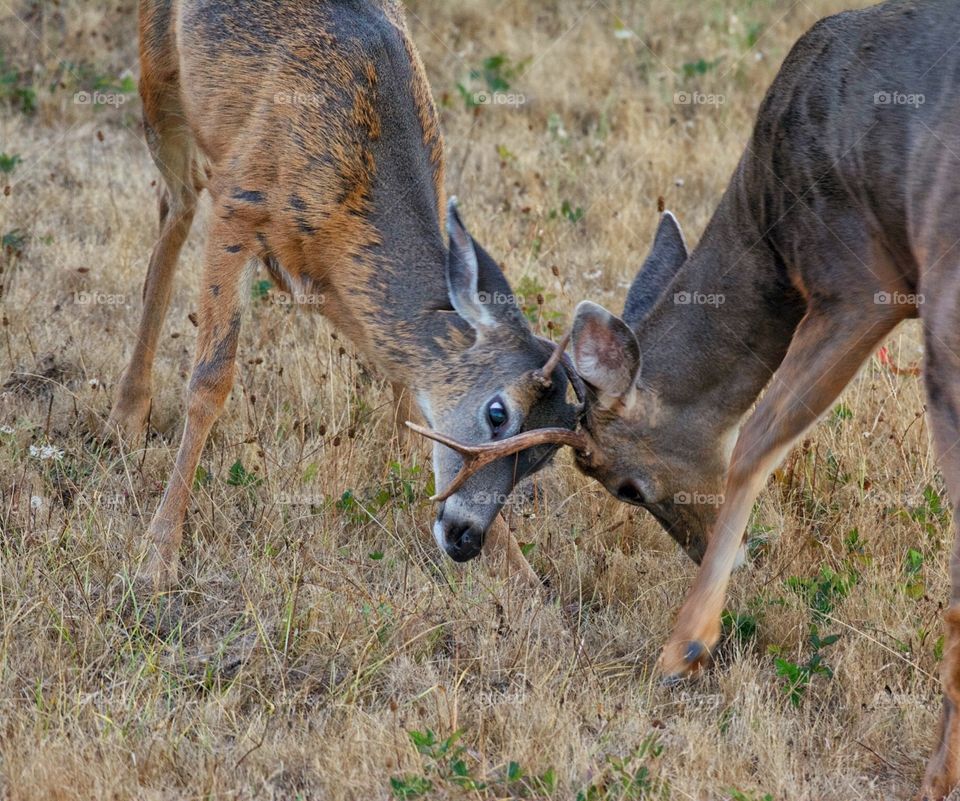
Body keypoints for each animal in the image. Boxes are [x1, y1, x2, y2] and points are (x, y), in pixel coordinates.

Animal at [107, 0, 584, 588]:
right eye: (498, 414)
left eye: (543, 458)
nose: (466, 539)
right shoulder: (239, 202)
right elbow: (210, 382)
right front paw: (157, 557)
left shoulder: (336, 281)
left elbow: (410, 386)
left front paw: (526, 577)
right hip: (160, 84)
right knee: (175, 209)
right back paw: (126, 417)